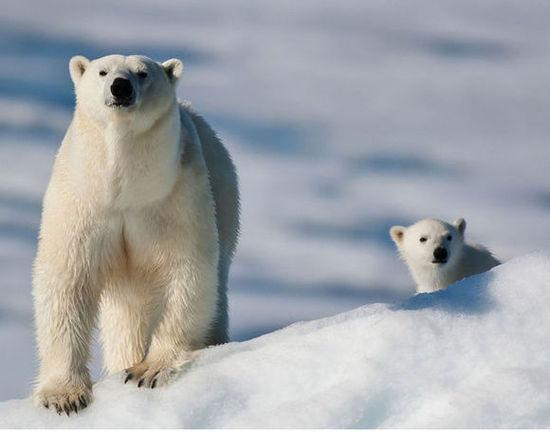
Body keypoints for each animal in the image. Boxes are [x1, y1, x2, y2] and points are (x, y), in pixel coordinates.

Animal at [32, 54, 239, 416]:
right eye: (103, 72)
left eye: (143, 73)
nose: (121, 87)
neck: (124, 189)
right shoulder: (83, 199)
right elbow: (67, 279)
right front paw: (64, 396)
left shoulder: (174, 196)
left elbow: (186, 272)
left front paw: (149, 370)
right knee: (126, 317)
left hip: (224, 200)